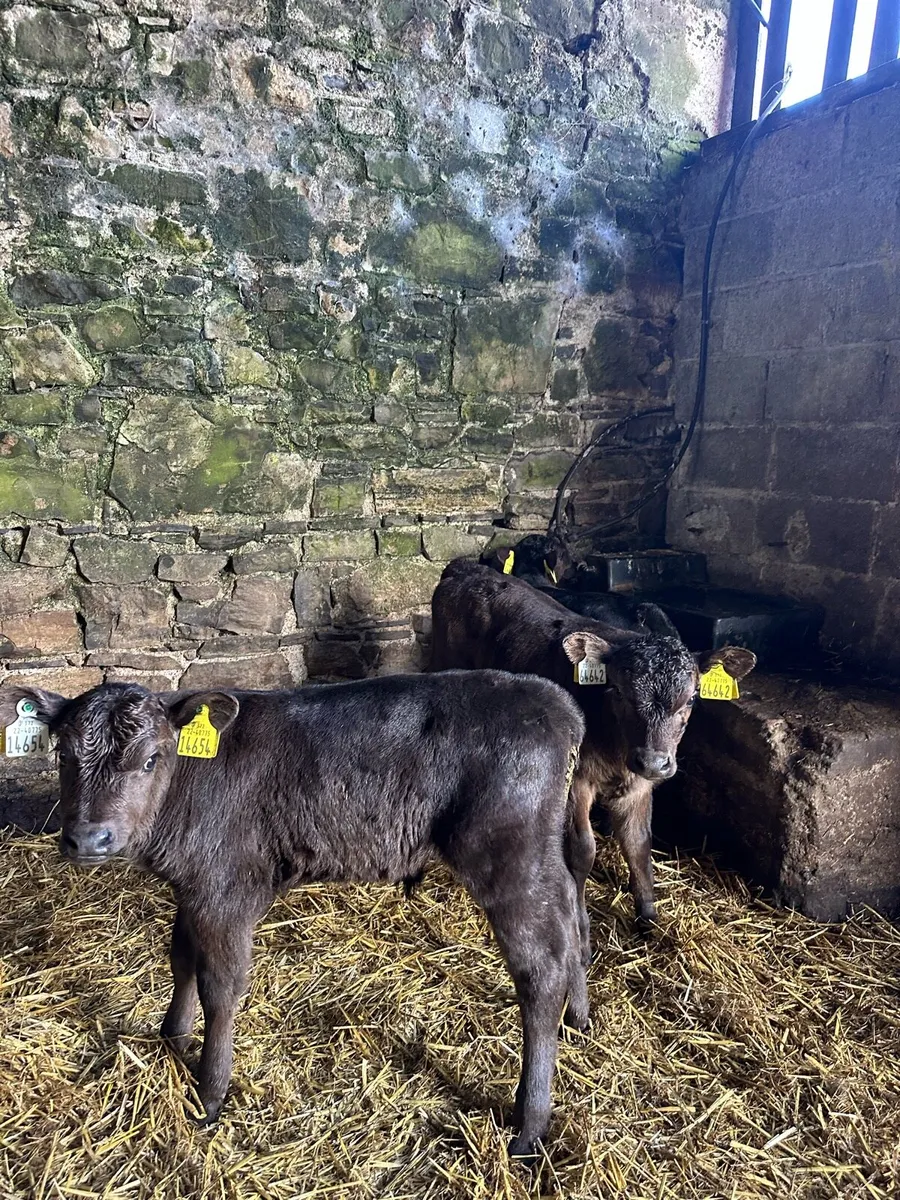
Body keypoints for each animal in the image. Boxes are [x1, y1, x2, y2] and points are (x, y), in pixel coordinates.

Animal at [2, 671, 589, 1160]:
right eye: (63, 755)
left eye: (150, 759)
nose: (88, 839)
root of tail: (557, 703)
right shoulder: (194, 889)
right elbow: (181, 958)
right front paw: (172, 1038)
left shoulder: (225, 890)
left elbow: (220, 987)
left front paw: (209, 1093)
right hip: (540, 855)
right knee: (570, 920)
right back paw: (579, 1018)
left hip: (506, 857)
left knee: (540, 968)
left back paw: (529, 1124)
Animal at [429, 560, 756, 929]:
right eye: (619, 691)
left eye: (691, 698)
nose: (653, 761)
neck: (615, 745)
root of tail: (467, 566)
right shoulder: (576, 780)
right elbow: (583, 849)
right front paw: (579, 914)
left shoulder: (639, 785)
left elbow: (639, 844)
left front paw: (648, 915)